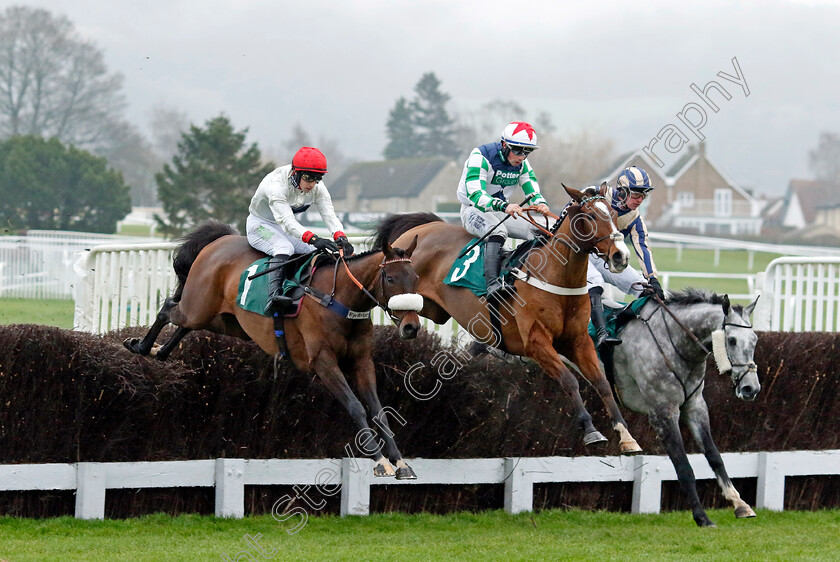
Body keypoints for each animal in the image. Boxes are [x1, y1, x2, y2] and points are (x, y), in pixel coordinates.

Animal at [121, 219, 424, 476]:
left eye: (417, 278)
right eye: (391, 279)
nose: (411, 327)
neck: (338, 299)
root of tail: (219, 241)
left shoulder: (361, 360)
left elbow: (379, 411)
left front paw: (400, 462)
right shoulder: (323, 362)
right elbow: (356, 407)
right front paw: (380, 461)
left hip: (228, 322)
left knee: (185, 323)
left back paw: (158, 351)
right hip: (199, 306)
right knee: (167, 309)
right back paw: (140, 345)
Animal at [374, 186, 644, 452]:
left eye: (613, 213)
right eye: (590, 217)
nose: (620, 256)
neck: (555, 276)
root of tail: (420, 229)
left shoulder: (578, 341)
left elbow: (602, 383)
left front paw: (626, 434)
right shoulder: (536, 342)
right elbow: (569, 381)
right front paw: (590, 429)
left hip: (433, 310)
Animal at [604, 288, 760, 524]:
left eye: (755, 339)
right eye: (732, 340)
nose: (751, 388)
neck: (676, 344)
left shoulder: (695, 407)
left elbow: (715, 457)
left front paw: (740, 504)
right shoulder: (663, 413)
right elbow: (683, 466)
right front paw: (702, 517)